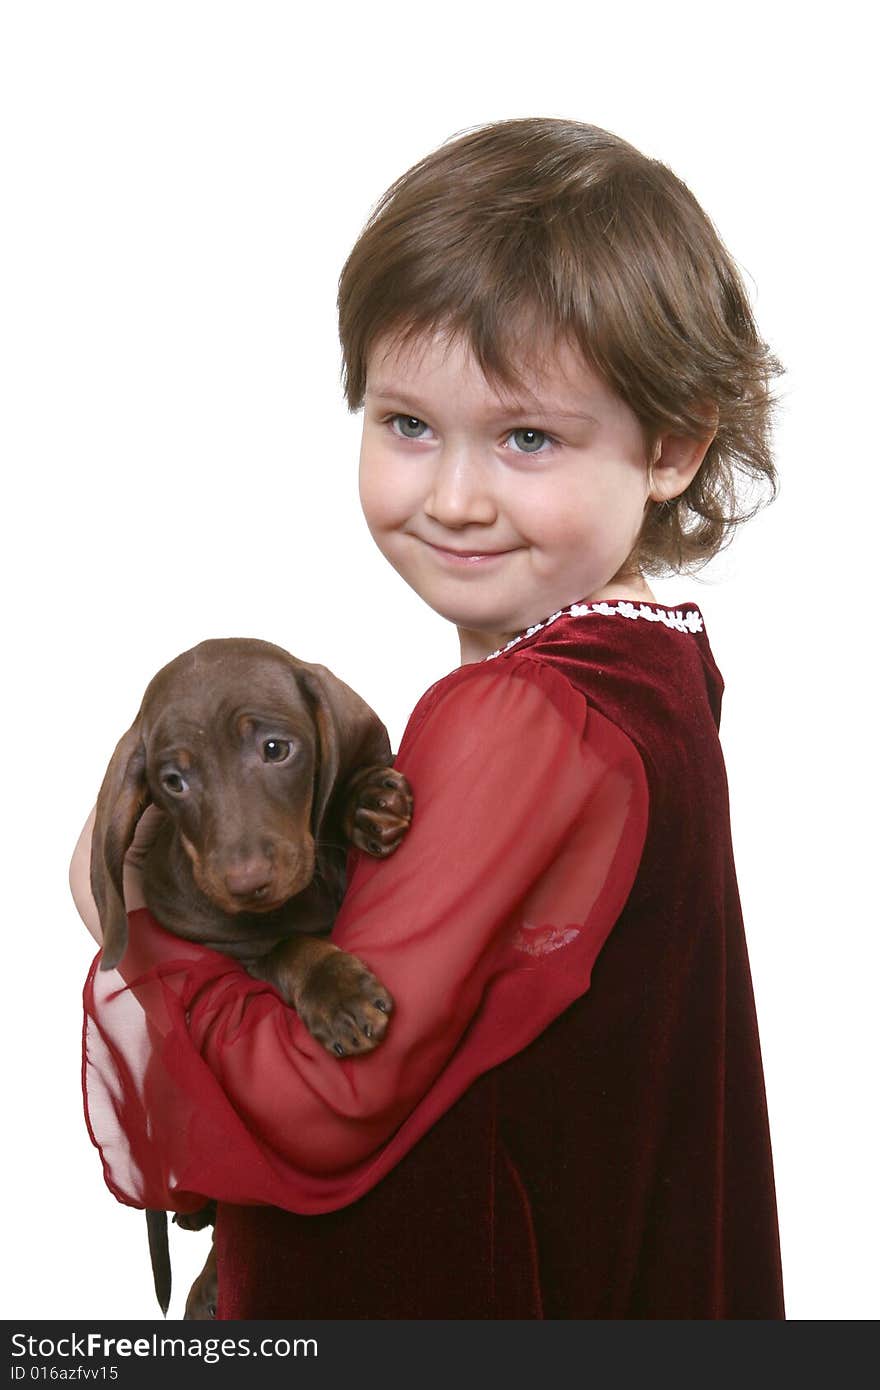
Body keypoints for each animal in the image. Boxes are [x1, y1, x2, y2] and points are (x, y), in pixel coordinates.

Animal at [91, 636, 414, 1312]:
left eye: (274, 749)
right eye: (173, 781)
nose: (244, 884)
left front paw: (365, 801)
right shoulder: (220, 944)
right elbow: (284, 947)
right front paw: (337, 995)